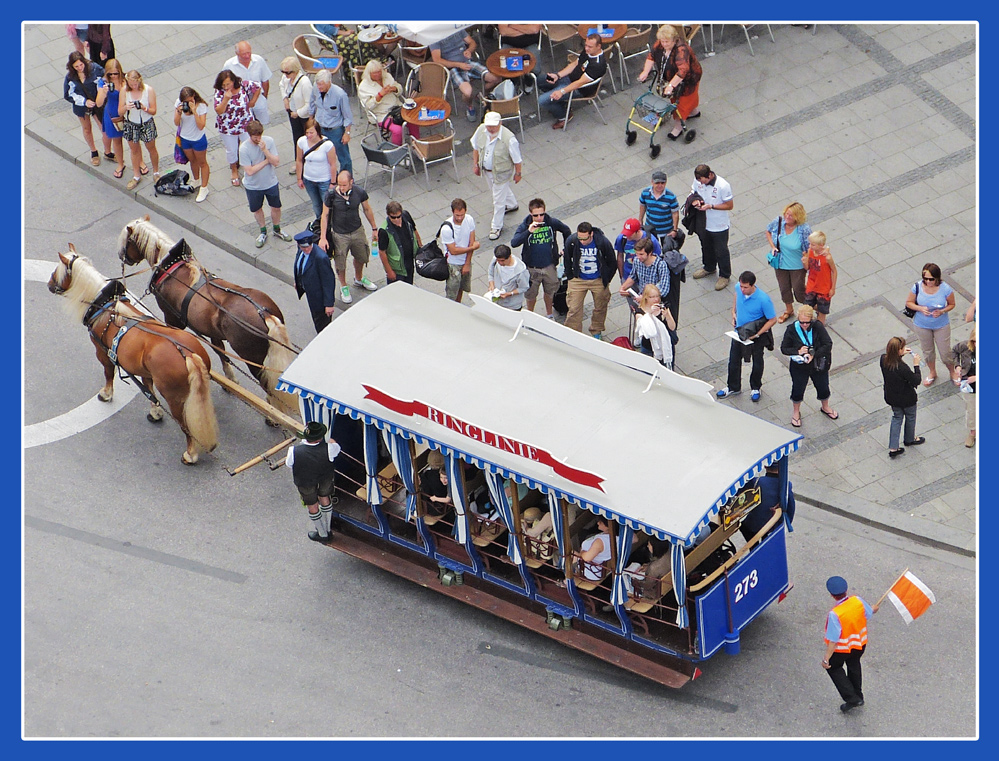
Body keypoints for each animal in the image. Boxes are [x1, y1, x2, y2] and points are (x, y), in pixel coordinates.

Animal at [48, 246, 219, 466]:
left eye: (57, 271)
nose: (49, 285)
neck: (105, 307)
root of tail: (188, 354)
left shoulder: (103, 353)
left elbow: (108, 374)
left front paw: (106, 394)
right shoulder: (145, 371)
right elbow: (149, 390)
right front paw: (155, 412)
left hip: (175, 399)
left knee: (186, 426)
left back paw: (190, 454)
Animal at [117, 214, 296, 416]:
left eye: (127, 240)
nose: (121, 256)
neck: (171, 268)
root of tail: (264, 314)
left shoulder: (172, 319)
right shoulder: (212, 331)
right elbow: (221, 352)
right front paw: (231, 378)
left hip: (254, 359)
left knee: (269, 387)